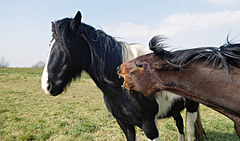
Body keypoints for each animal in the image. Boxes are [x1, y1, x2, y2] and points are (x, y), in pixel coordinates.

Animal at [41, 11, 204, 141]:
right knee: (179, 125)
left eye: (65, 46)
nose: (46, 86)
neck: (123, 88)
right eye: (49, 45)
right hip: (175, 107)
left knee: (189, 131)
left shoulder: (150, 126)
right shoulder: (124, 124)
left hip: (192, 106)